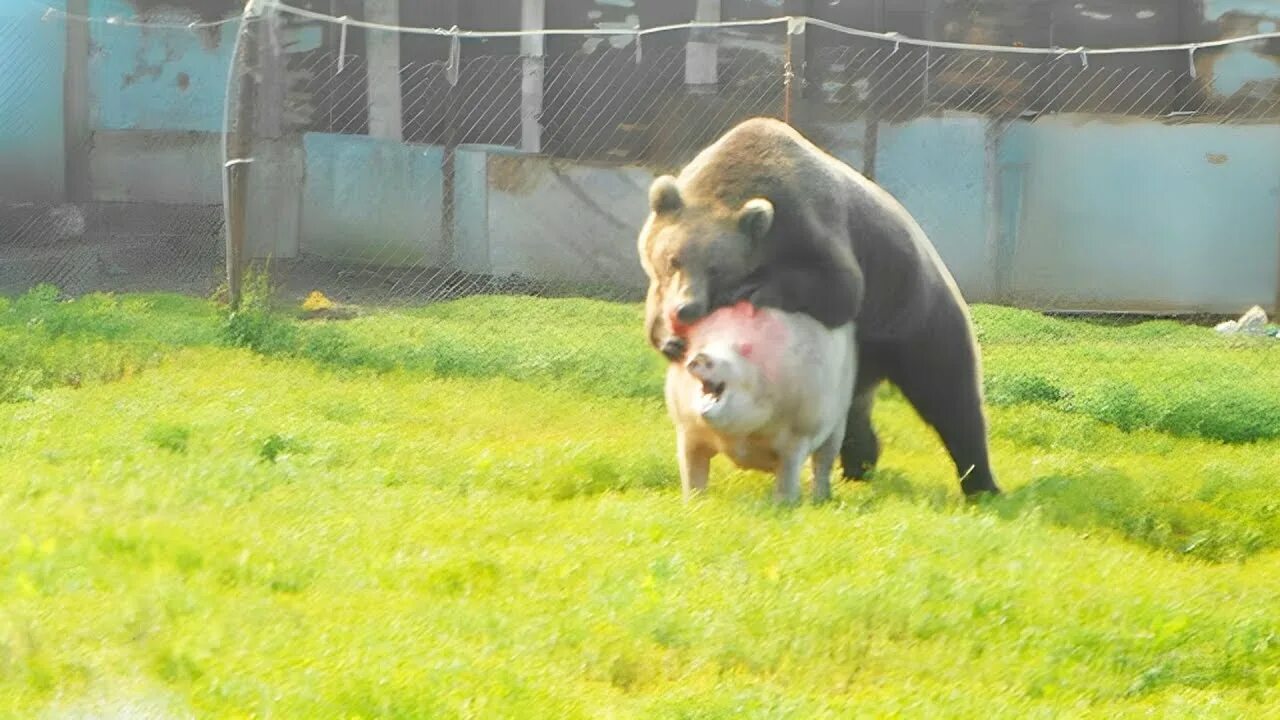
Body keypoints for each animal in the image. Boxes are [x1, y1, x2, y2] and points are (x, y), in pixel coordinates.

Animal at [637, 119, 998, 499]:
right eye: (673, 260)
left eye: (716, 268)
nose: (686, 309)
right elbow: (654, 305)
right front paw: (670, 340)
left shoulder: (812, 223)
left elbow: (840, 287)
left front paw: (756, 289)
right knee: (855, 412)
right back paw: (860, 463)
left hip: (911, 312)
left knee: (950, 394)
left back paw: (981, 482)